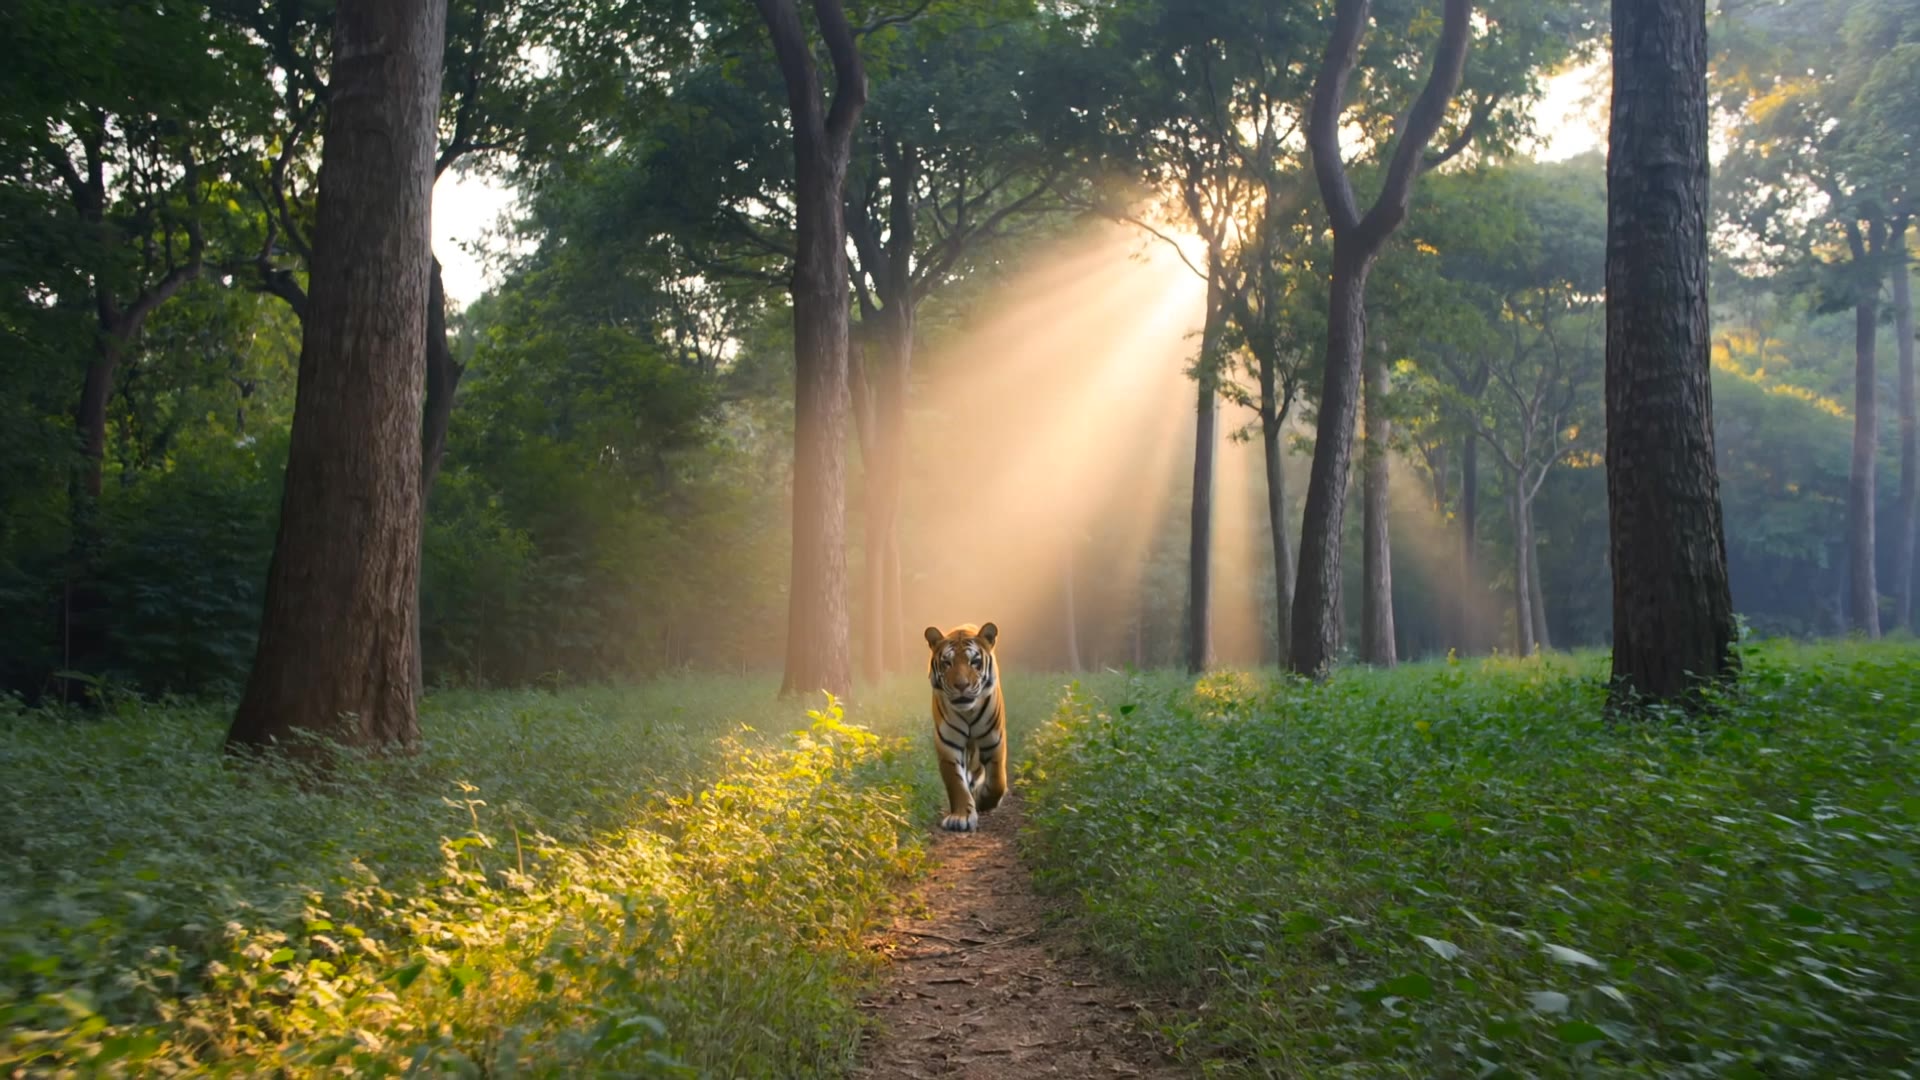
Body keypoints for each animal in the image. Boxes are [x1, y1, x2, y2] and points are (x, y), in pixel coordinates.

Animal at [923, 622, 1008, 832]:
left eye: (974, 662)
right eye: (947, 663)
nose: (961, 685)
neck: (968, 712)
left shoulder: (994, 740)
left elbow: (997, 781)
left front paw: (983, 801)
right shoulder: (948, 744)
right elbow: (956, 782)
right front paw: (961, 816)